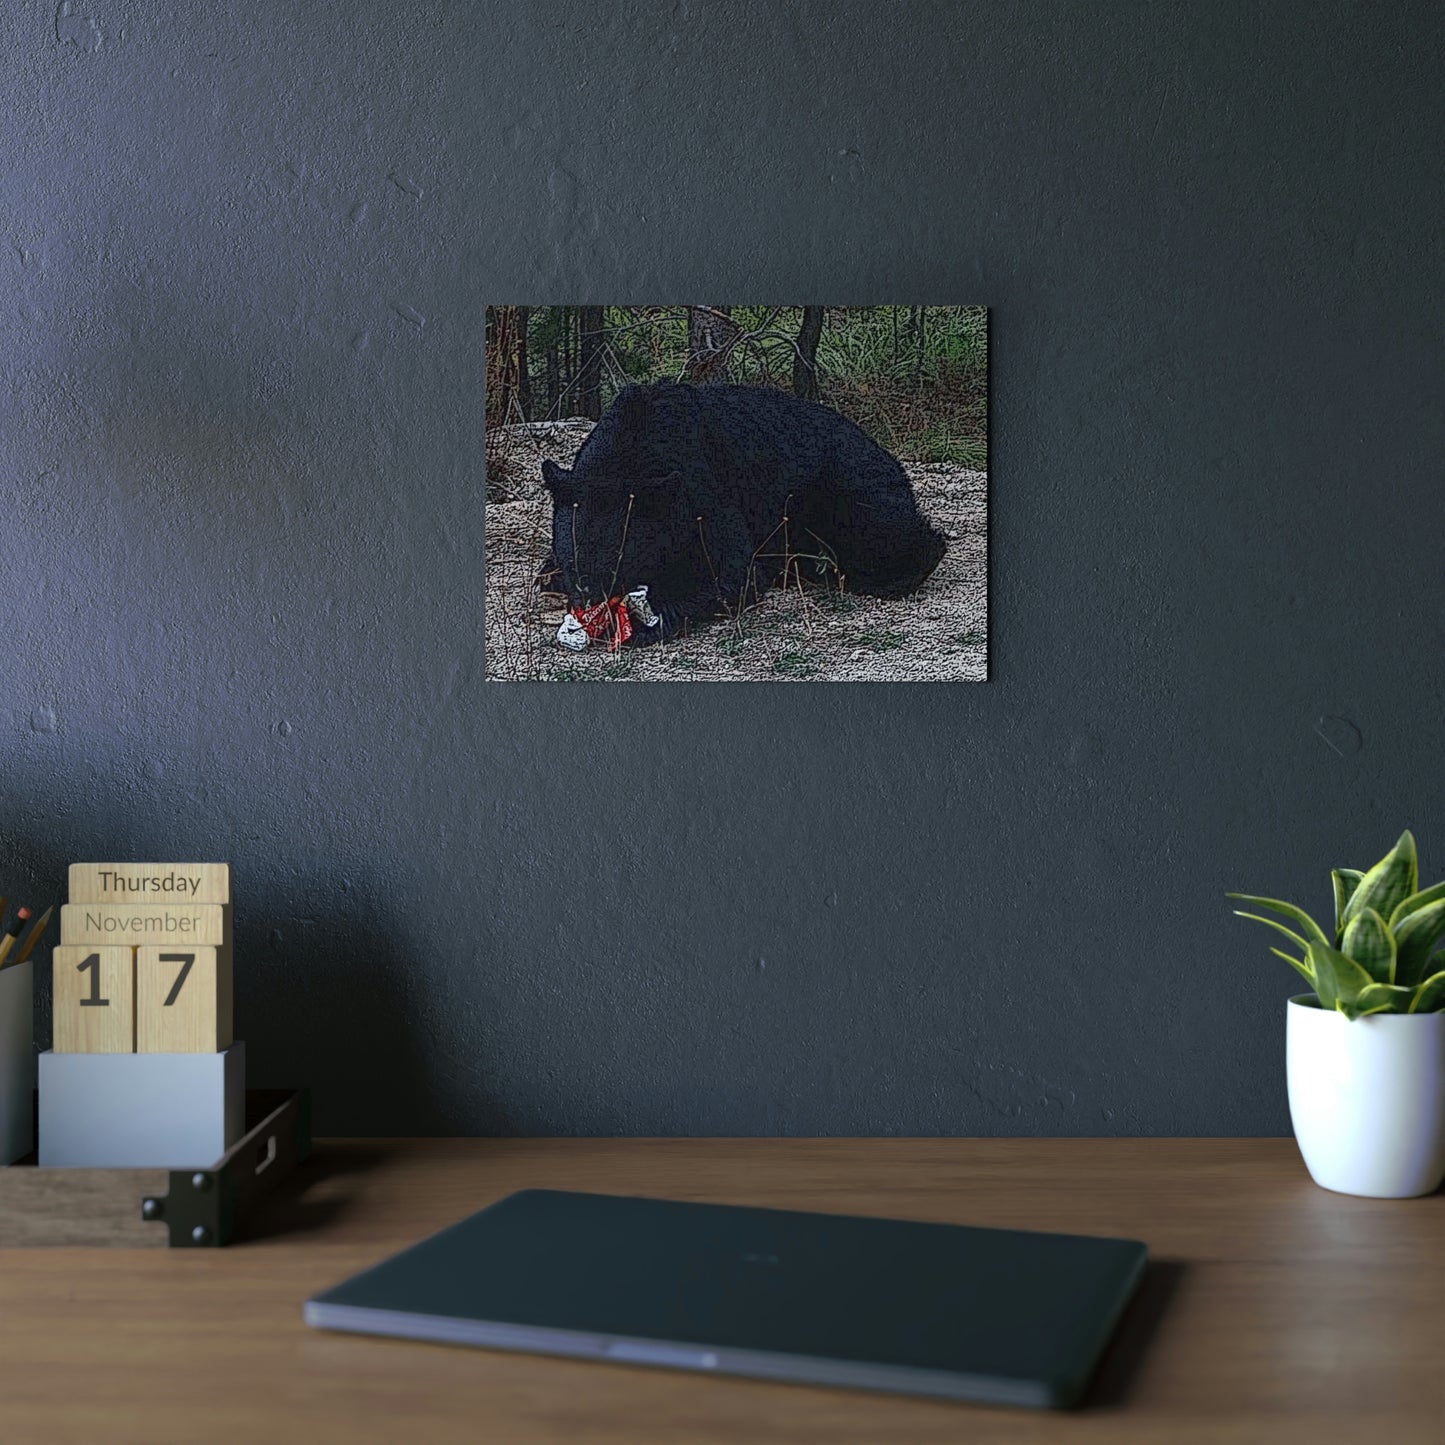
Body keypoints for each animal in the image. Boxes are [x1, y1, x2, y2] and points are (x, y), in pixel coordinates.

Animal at [539, 382, 947, 644]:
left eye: (620, 563)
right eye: (575, 563)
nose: (591, 608)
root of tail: (892, 460)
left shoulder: (702, 487)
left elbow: (733, 573)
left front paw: (647, 622)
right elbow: (547, 573)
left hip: (844, 487)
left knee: (885, 535)